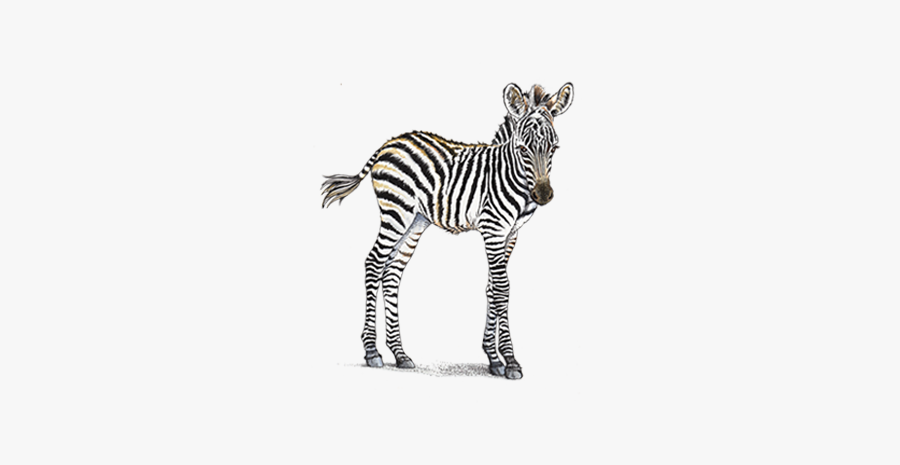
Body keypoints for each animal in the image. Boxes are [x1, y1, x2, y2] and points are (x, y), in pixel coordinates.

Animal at [321, 83, 573, 379]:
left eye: (554, 148)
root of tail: (389, 143)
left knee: (392, 272)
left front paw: (493, 357)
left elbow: (491, 287)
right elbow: (502, 288)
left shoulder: (511, 234)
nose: (543, 195)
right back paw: (372, 351)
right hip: (396, 211)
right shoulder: (493, 229)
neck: (509, 173)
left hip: (416, 220)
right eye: (523, 148)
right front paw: (509, 361)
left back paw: (400, 353)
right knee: (373, 263)